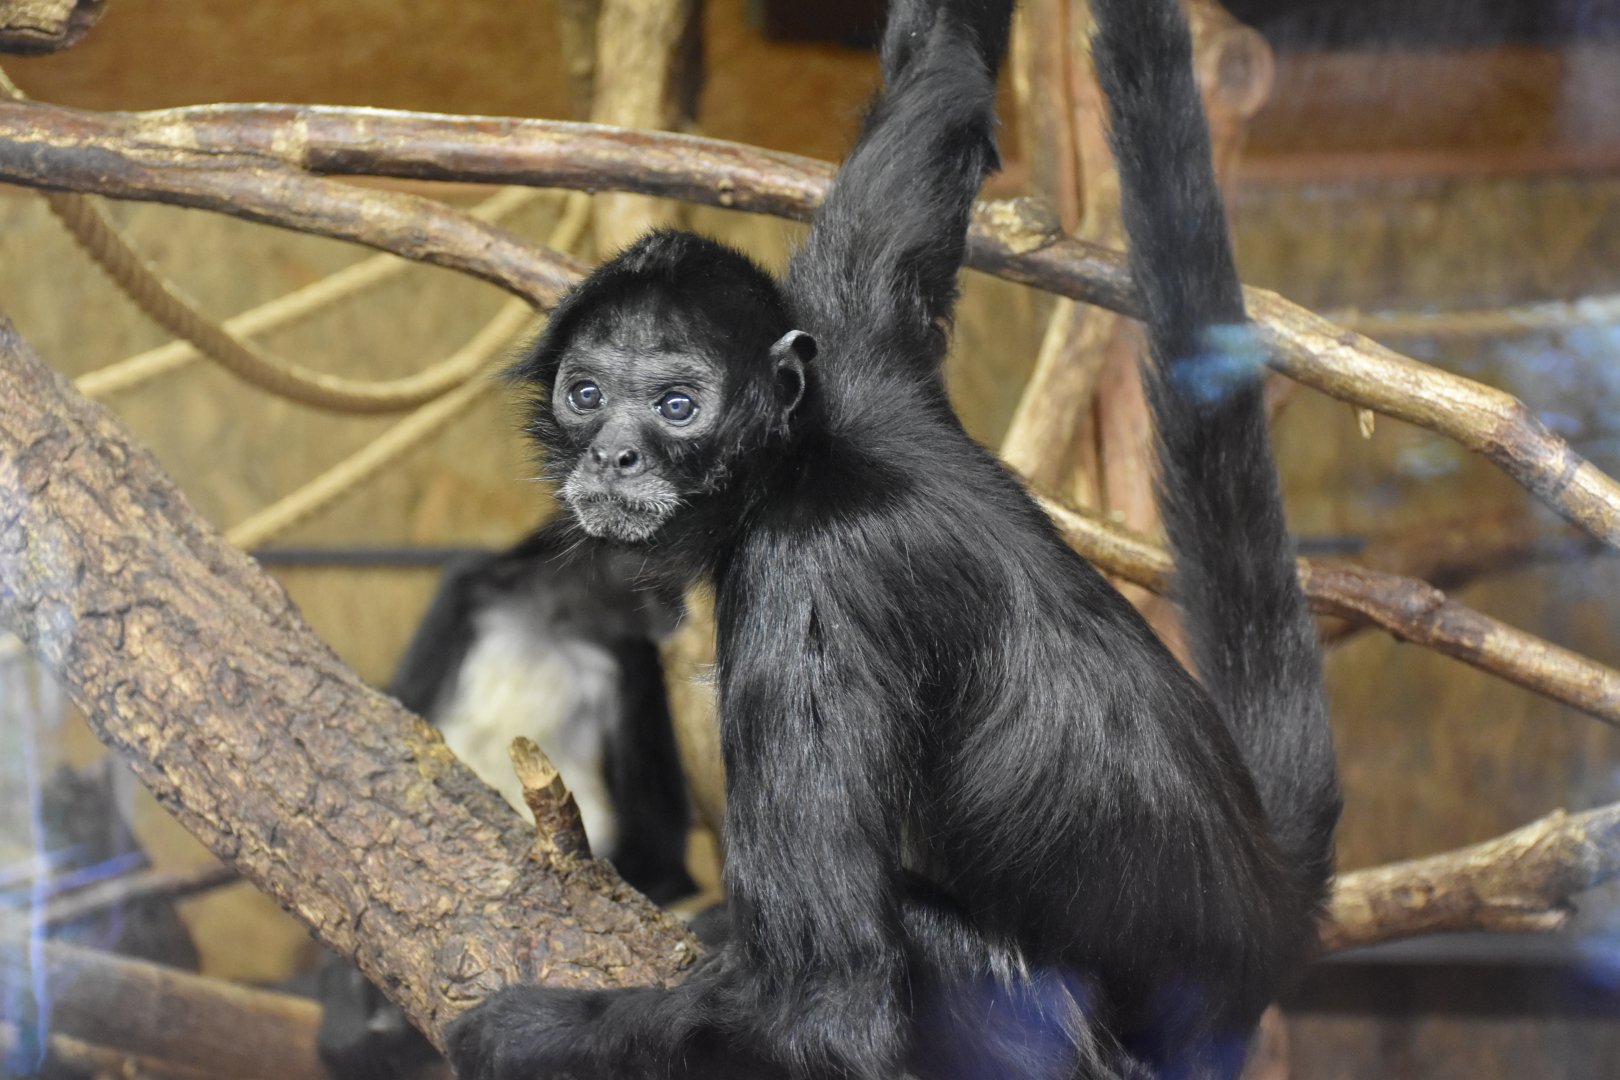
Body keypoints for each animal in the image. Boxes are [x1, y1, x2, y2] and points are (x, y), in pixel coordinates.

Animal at [446, 0, 1339, 1075]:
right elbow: (941, 79)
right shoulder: (852, 341)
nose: (615, 454)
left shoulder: (806, 576)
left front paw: (520, 1030)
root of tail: (1268, 919)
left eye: (676, 406)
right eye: (586, 394)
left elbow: (829, 1011)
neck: (809, 454)